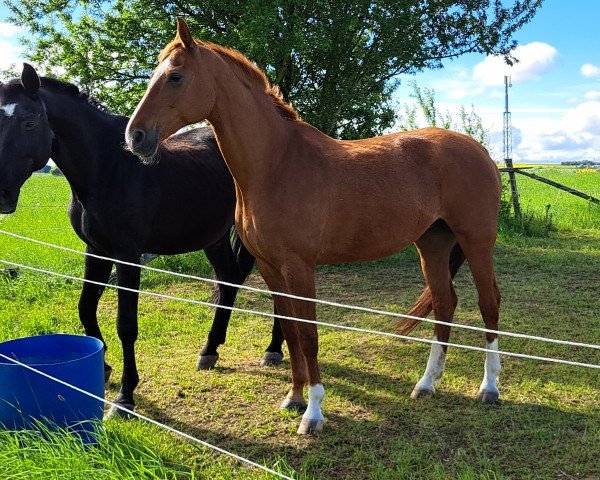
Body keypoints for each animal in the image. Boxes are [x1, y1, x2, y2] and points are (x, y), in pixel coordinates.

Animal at [125, 17, 502, 436]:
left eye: (175, 76)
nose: (135, 137)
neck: (276, 164)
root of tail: (480, 150)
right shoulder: (271, 267)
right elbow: (289, 332)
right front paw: (293, 397)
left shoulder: (299, 266)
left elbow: (308, 335)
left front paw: (314, 412)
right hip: (432, 244)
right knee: (445, 303)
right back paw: (426, 384)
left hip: (476, 241)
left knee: (489, 304)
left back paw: (489, 388)